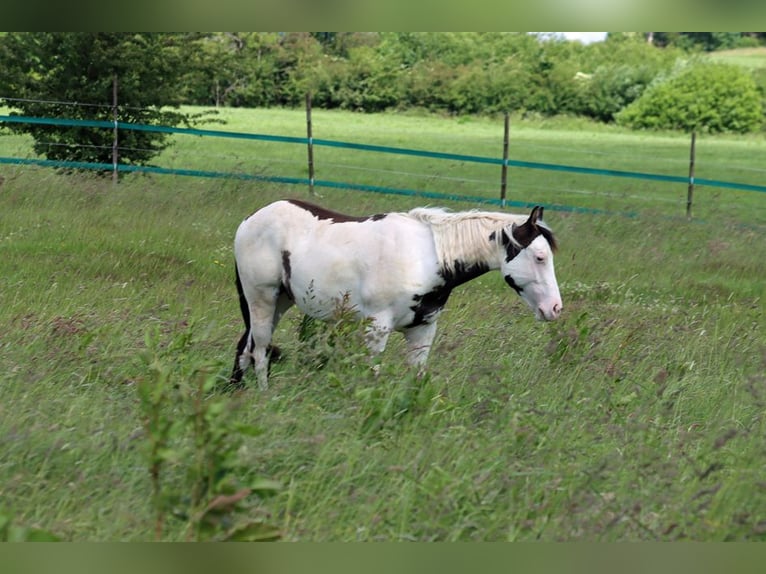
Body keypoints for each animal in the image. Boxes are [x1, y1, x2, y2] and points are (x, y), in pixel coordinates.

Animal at [229, 198, 562, 390]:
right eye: (540, 257)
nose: (555, 309)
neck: (427, 258)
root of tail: (249, 220)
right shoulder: (377, 330)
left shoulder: (422, 331)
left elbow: (417, 379)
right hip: (262, 300)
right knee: (260, 351)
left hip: (280, 302)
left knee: (245, 346)